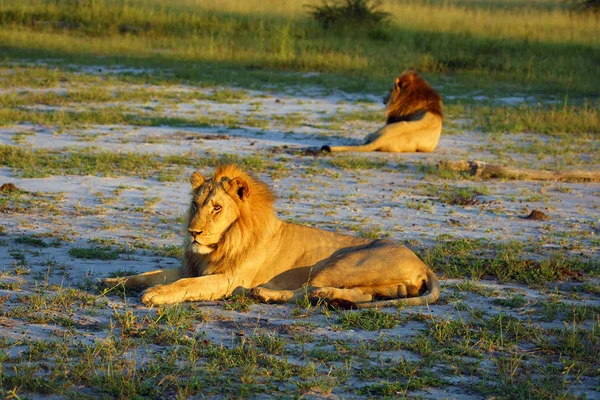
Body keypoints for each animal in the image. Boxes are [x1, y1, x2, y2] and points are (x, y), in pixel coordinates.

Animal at [101, 164, 440, 308]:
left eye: (216, 207)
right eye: (195, 204)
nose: (192, 232)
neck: (222, 243)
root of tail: (423, 264)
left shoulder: (229, 279)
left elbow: (186, 285)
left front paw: (156, 295)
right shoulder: (191, 266)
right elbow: (149, 274)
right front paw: (111, 282)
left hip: (338, 264)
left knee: (307, 290)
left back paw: (265, 294)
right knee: (359, 296)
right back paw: (330, 298)